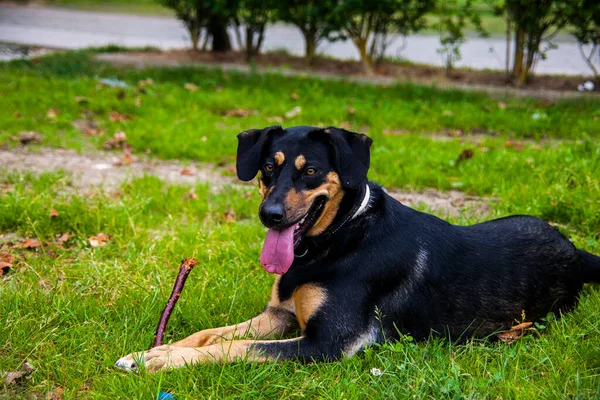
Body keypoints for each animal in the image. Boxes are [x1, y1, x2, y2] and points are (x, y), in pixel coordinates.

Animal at [116, 125, 600, 372]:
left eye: (311, 170)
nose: (269, 215)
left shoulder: (330, 343)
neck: (338, 238)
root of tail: (576, 250)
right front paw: (155, 351)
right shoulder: (279, 315)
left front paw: (164, 360)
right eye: (268, 168)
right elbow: (211, 334)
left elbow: (234, 348)